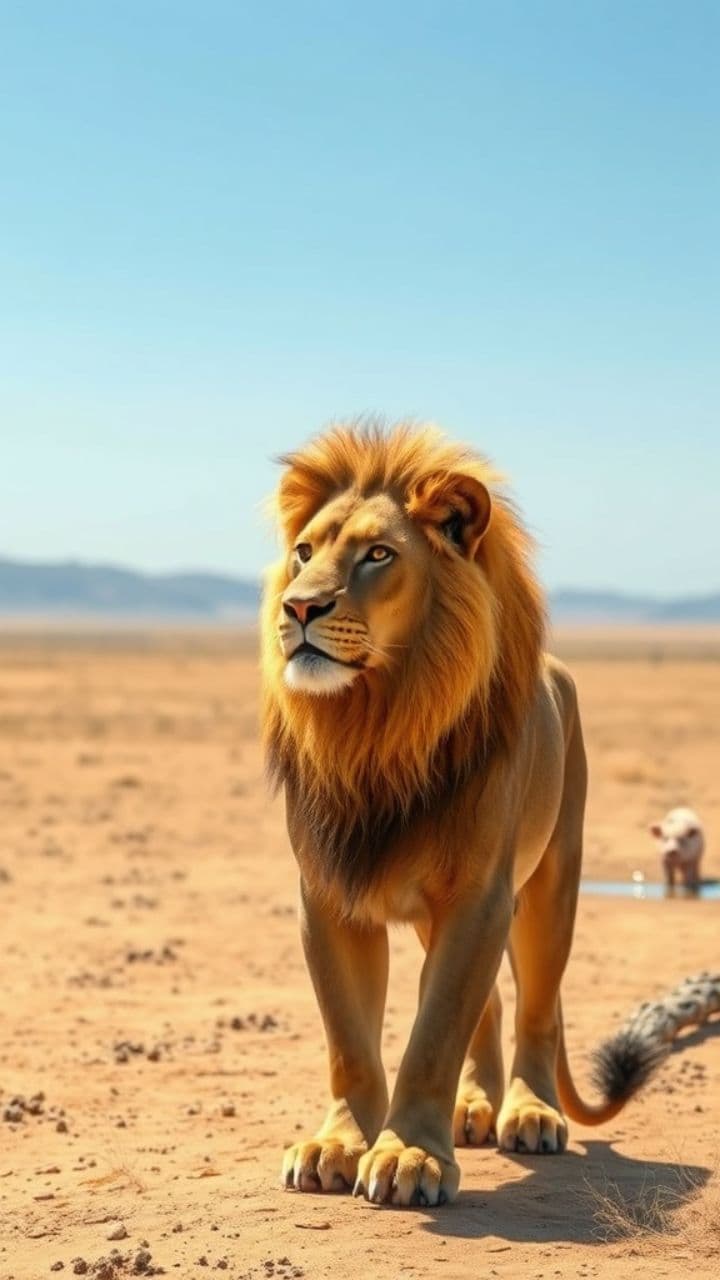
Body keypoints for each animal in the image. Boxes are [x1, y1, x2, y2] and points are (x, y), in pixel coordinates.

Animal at [261, 420, 662, 1208]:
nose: (297, 608)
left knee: (536, 1006)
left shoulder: (479, 896)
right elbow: (350, 1038)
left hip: (550, 883)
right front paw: (337, 1144)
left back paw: (529, 1112)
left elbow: (434, 1032)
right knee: (495, 1007)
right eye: (304, 552)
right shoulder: (325, 893)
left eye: (378, 555)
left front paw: (409, 1155)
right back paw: (475, 1106)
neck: (376, 728)